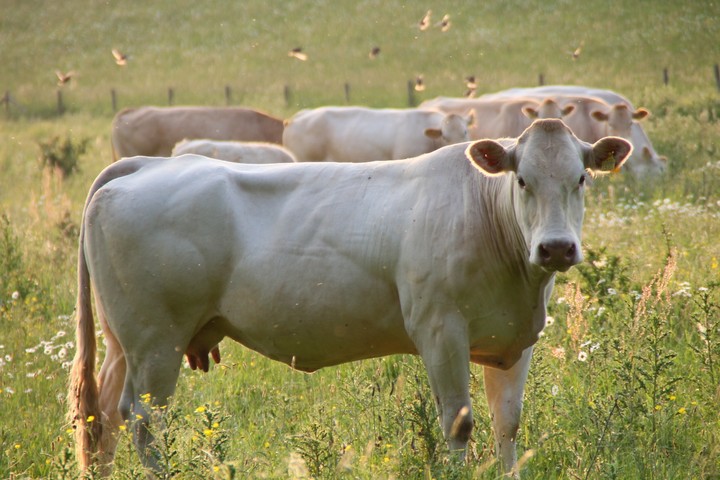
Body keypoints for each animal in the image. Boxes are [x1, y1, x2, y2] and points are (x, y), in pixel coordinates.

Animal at [68, 119, 632, 478]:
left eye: (582, 178)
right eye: (522, 179)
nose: (555, 247)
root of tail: (146, 165)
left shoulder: (515, 340)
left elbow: (507, 426)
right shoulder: (440, 330)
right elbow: (459, 422)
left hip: (124, 342)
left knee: (104, 420)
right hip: (156, 340)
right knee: (146, 421)